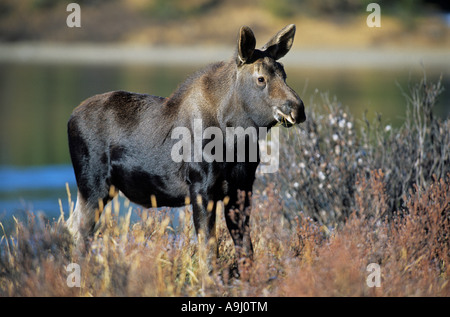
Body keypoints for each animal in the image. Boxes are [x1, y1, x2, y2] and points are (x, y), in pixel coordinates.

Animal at [67, 24, 306, 266]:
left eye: (284, 74)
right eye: (260, 78)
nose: (298, 109)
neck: (236, 139)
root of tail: (71, 118)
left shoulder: (242, 188)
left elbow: (246, 249)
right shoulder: (202, 187)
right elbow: (208, 252)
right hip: (92, 184)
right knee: (78, 231)